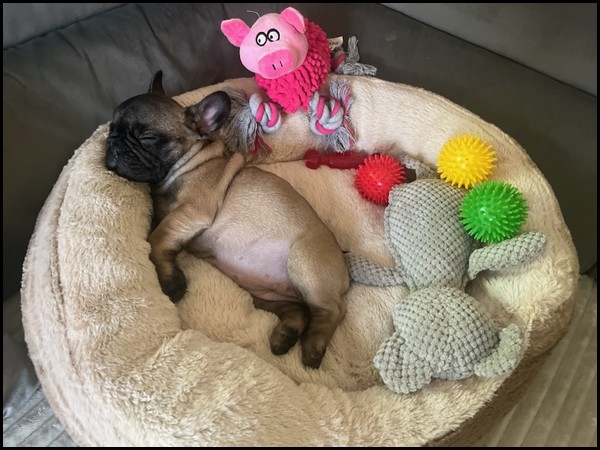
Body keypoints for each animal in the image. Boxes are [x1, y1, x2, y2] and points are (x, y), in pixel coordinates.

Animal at [105, 71, 350, 369]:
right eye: (111, 129)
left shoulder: (191, 211)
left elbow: (156, 238)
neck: (190, 162)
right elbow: (158, 235)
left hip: (306, 263)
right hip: (265, 294)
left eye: (147, 137)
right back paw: (285, 335)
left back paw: (313, 347)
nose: (113, 143)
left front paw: (171, 282)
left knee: (332, 310)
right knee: (298, 311)